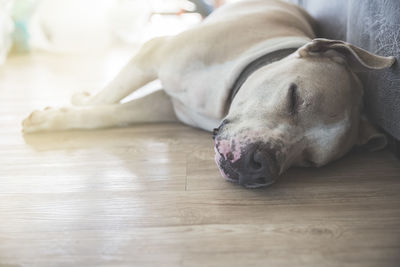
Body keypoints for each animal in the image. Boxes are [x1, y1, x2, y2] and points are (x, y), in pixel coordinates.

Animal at [23, 0, 396, 188]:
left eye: (309, 161)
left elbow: (111, 112)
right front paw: (69, 108)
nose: (259, 165)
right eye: (294, 97)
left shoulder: (167, 105)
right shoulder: (153, 54)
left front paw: (58, 118)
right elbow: (106, 98)